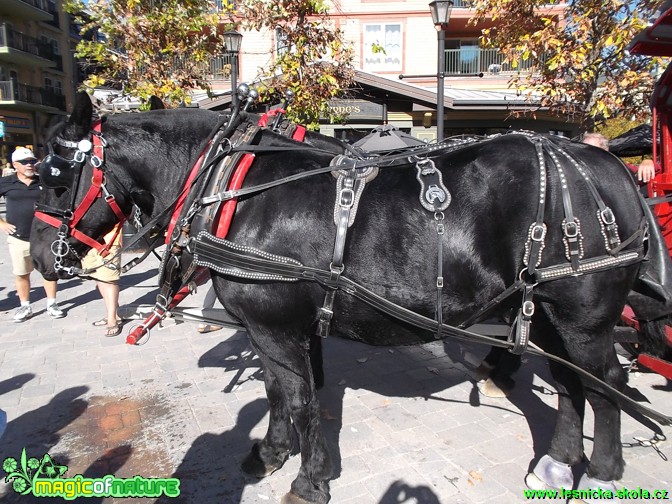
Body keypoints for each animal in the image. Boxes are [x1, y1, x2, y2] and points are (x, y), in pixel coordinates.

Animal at [30, 92, 668, 502]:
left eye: (56, 177)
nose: (40, 259)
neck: (228, 187)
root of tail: (611, 166)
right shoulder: (274, 328)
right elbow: (277, 393)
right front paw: (271, 453)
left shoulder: (277, 326)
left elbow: (302, 400)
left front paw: (309, 480)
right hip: (543, 312)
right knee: (568, 383)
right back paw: (560, 462)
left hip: (583, 315)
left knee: (604, 381)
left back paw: (603, 470)